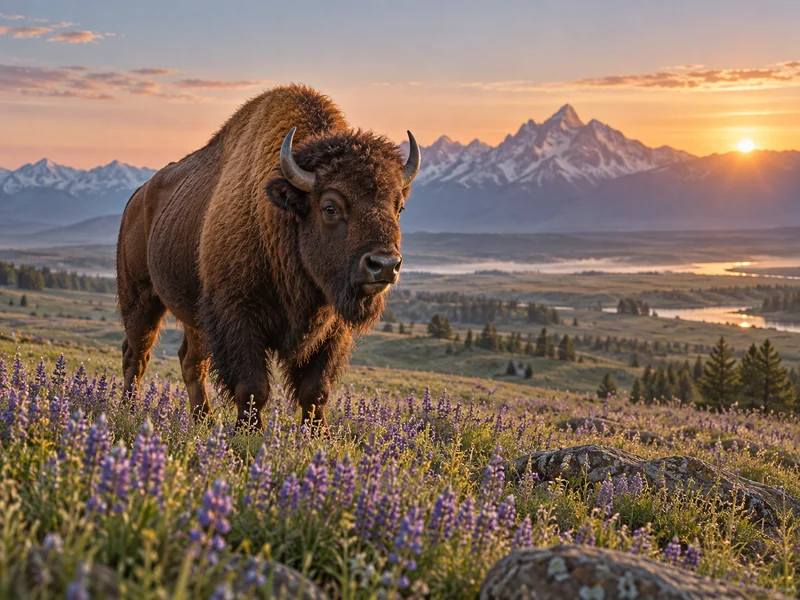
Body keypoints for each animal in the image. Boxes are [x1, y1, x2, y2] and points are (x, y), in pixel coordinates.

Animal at [116, 84, 420, 429]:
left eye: (399, 207)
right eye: (330, 207)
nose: (384, 265)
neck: (282, 216)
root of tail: (136, 197)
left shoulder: (331, 329)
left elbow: (315, 390)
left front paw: (319, 435)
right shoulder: (237, 314)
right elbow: (252, 387)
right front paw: (249, 432)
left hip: (195, 314)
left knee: (190, 360)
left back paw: (203, 419)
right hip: (140, 298)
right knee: (137, 354)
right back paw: (129, 409)